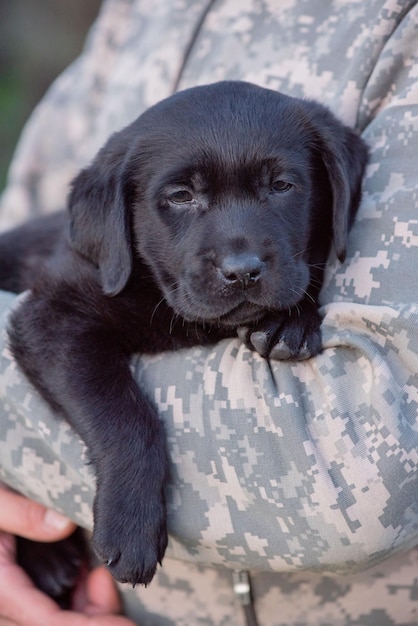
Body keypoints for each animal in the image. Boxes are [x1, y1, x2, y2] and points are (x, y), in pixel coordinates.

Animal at [0, 79, 366, 600]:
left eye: (282, 186)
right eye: (181, 196)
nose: (243, 271)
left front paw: (291, 321)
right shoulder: (50, 317)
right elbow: (125, 415)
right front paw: (130, 528)